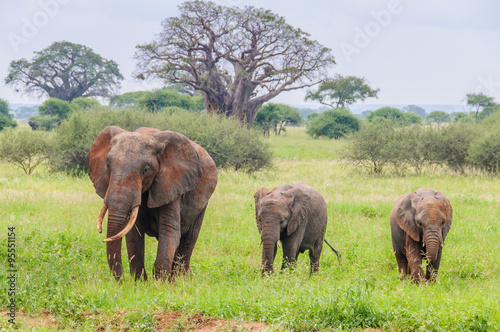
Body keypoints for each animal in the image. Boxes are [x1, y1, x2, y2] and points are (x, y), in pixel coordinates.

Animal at [86, 126, 219, 282]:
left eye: (146, 170)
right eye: (107, 164)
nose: (122, 279)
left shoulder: (171, 183)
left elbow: (169, 230)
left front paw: (159, 283)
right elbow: (134, 233)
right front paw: (139, 282)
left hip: (202, 204)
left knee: (188, 239)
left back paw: (181, 279)